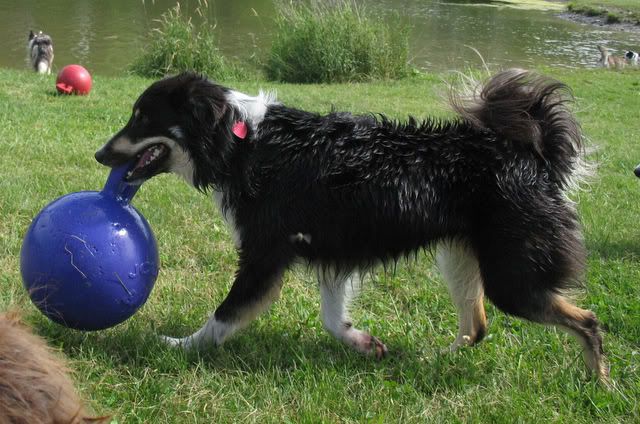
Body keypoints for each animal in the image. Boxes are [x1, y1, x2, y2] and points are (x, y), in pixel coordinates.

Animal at [97, 69, 608, 380]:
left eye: (142, 117)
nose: (100, 154)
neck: (242, 142)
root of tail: (534, 159)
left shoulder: (265, 254)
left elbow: (224, 316)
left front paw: (178, 346)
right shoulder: (330, 249)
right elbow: (331, 318)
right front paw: (363, 344)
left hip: (512, 278)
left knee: (587, 321)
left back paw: (598, 383)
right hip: (461, 258)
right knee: (477, 325)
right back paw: (433, 357)